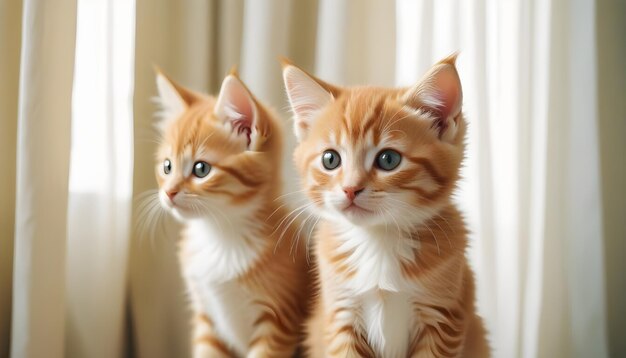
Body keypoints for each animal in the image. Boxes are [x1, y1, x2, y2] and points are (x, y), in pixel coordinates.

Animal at [149, 68, 310, 356]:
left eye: (201, 169)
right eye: (167, 166)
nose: (168, 193)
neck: (220, 234)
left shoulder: (279, 321)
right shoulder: (207, 318)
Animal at [280, 53, 490, 358]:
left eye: (388, 159)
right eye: (330, 159)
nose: (350, 188)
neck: (378, 239)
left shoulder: (441, 318)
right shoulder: (340, 317)